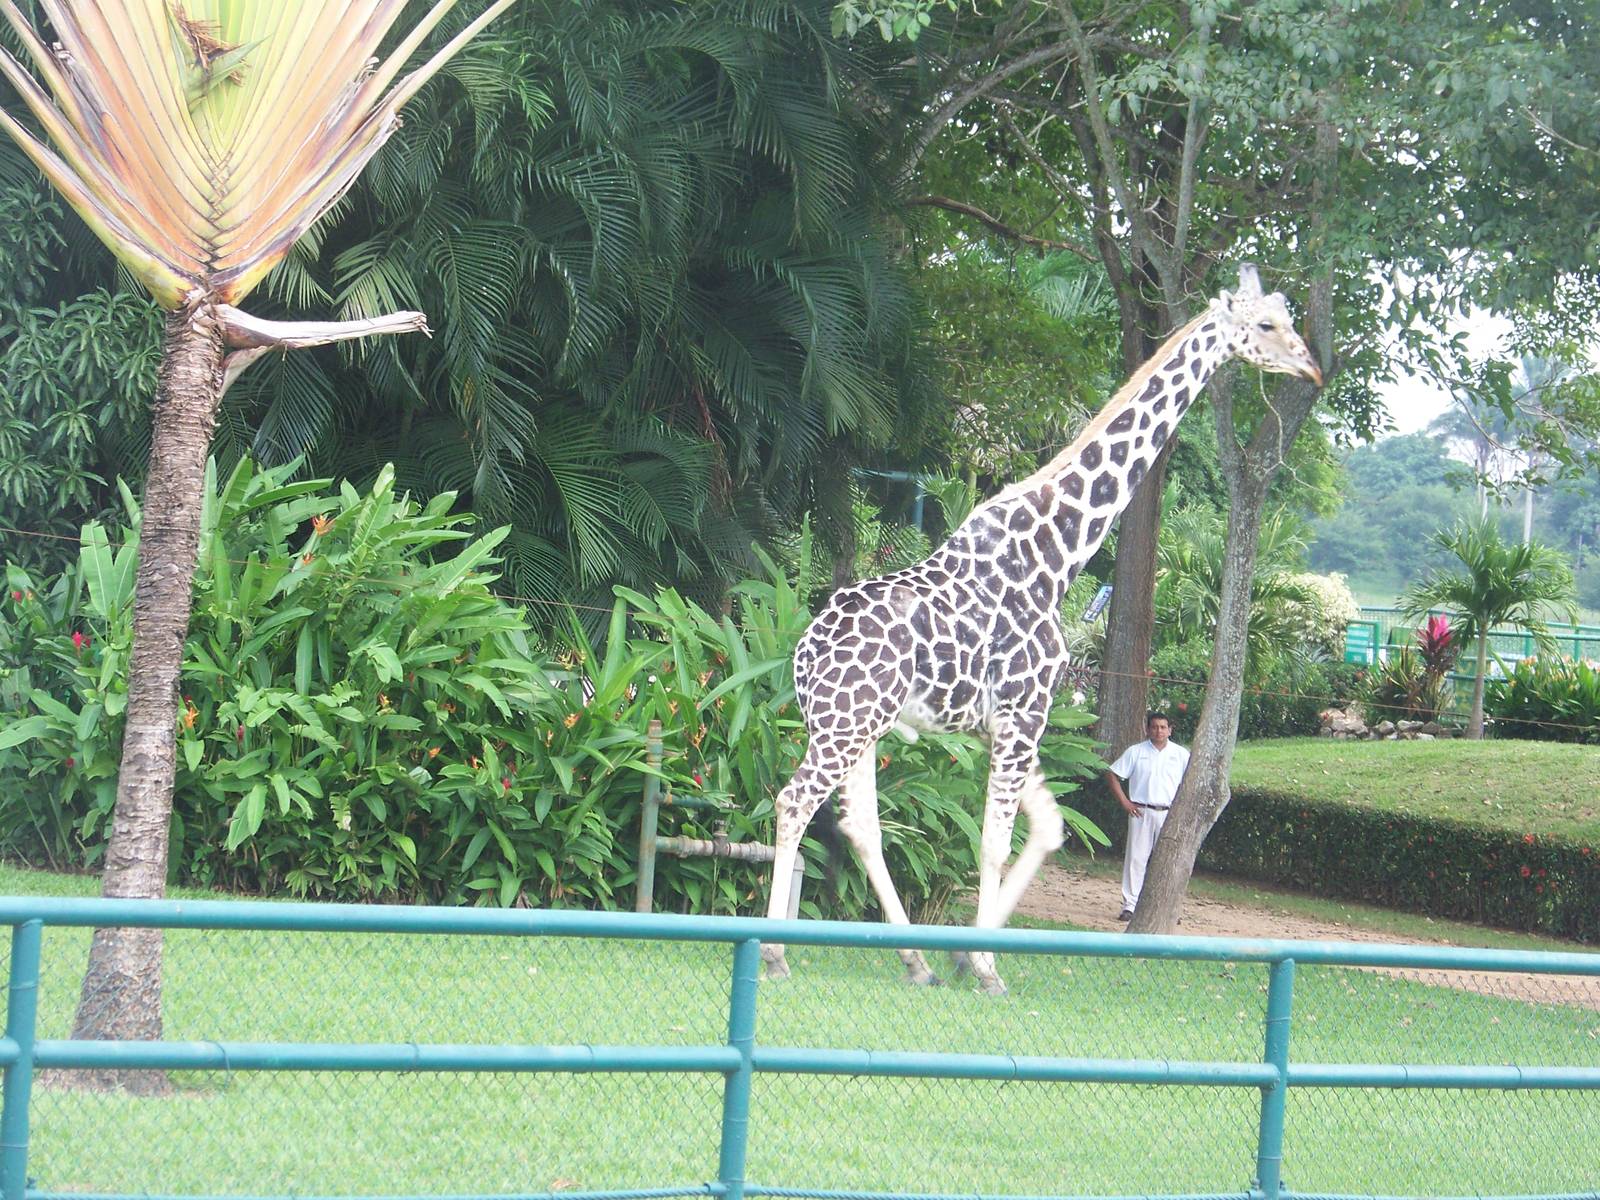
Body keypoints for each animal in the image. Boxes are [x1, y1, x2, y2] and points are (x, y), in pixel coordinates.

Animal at [760, 265, 1323, 995]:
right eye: (1265, 325)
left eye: (1286, 317)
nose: (1310, 367)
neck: (1060, 553)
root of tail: (802, 654)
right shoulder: (1026, 712)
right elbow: (996, 839)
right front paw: (985, 964)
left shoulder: (1005, 722)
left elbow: (1051, 830)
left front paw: (967, 955)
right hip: (845, 725)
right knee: (794, 801)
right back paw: (775, 952)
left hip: (860, 726)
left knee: (861, 825)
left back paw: (915, 959)